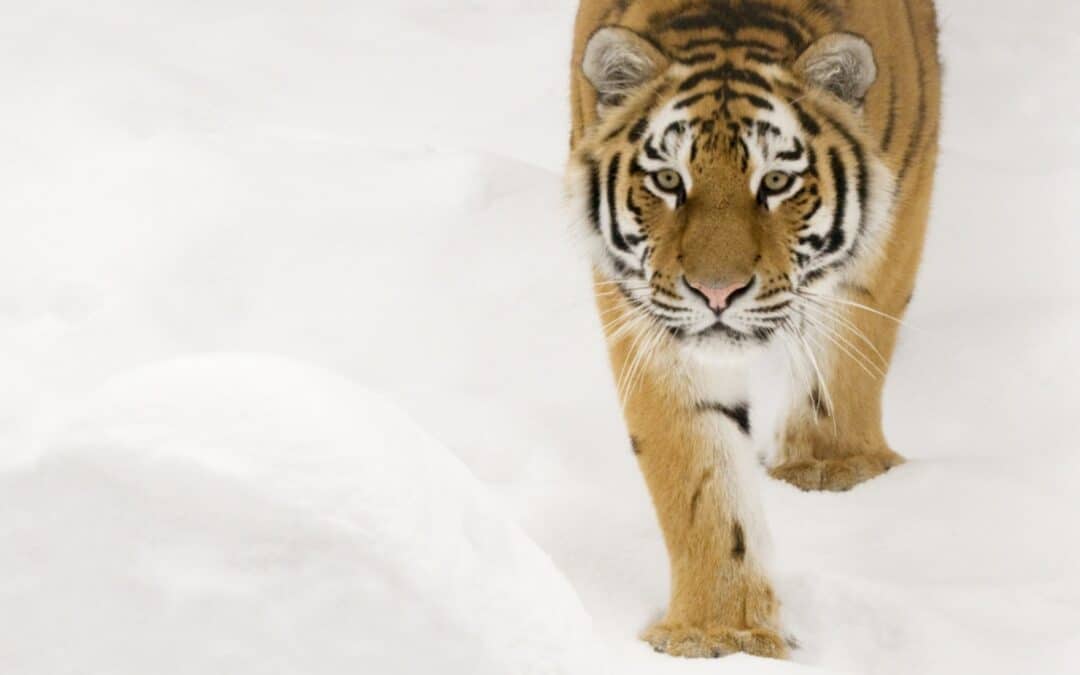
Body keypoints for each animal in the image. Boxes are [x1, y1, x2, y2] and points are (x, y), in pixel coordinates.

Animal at [565, 0, 937, 656]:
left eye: (777, 182)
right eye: (668, 181)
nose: (717, 293)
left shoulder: (898, 207)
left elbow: (849, 349)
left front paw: (829, 465)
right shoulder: (650, 313)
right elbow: (698, 469)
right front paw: (719, 632)